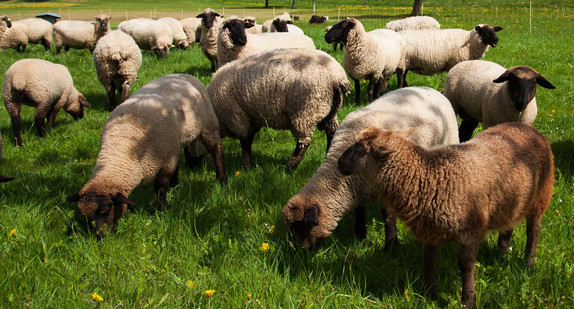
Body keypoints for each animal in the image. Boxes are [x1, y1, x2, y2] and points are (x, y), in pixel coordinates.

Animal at [67, 73, 227, 236]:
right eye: (84, 214)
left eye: (106, 210)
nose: (98, 236)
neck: (123, 146)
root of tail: (181, 74)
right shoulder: (166, 153)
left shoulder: (165, 161)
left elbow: (160, 187)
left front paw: (159, 211)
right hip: (176, 141)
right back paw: (175, 184)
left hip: (207, 123)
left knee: (216, 149)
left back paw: (221, 179)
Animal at [207, 47, 352, 171]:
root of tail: (337, 76)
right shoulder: (251, 119)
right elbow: (249, 140)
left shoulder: (238, 118)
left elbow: (245, 142)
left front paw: (247, 167)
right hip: (329, 110)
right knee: (331, 132)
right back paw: (327, 158)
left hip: (305, 111)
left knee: (303, 143)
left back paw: (290, 167)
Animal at [282, 85, 462, 247]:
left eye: (300, 226)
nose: (298, 251)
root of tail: (430, 89)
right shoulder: (359, 187)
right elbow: (360, 209)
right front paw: (360, 235)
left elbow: (387, 215)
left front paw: (391, 246)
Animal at [340, 121, 556, 306]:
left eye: (360, 149)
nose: (339, 163)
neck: (429, 176)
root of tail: (528, 128)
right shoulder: (429, 230)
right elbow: (429, 261)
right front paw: (427, 295)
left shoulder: (471, 231)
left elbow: (465, 265)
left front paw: (468, 299)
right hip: (511, 201)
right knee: (509, 224)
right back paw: (502, 252)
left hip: (541, 197)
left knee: (533, 231)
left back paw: (528, 264)